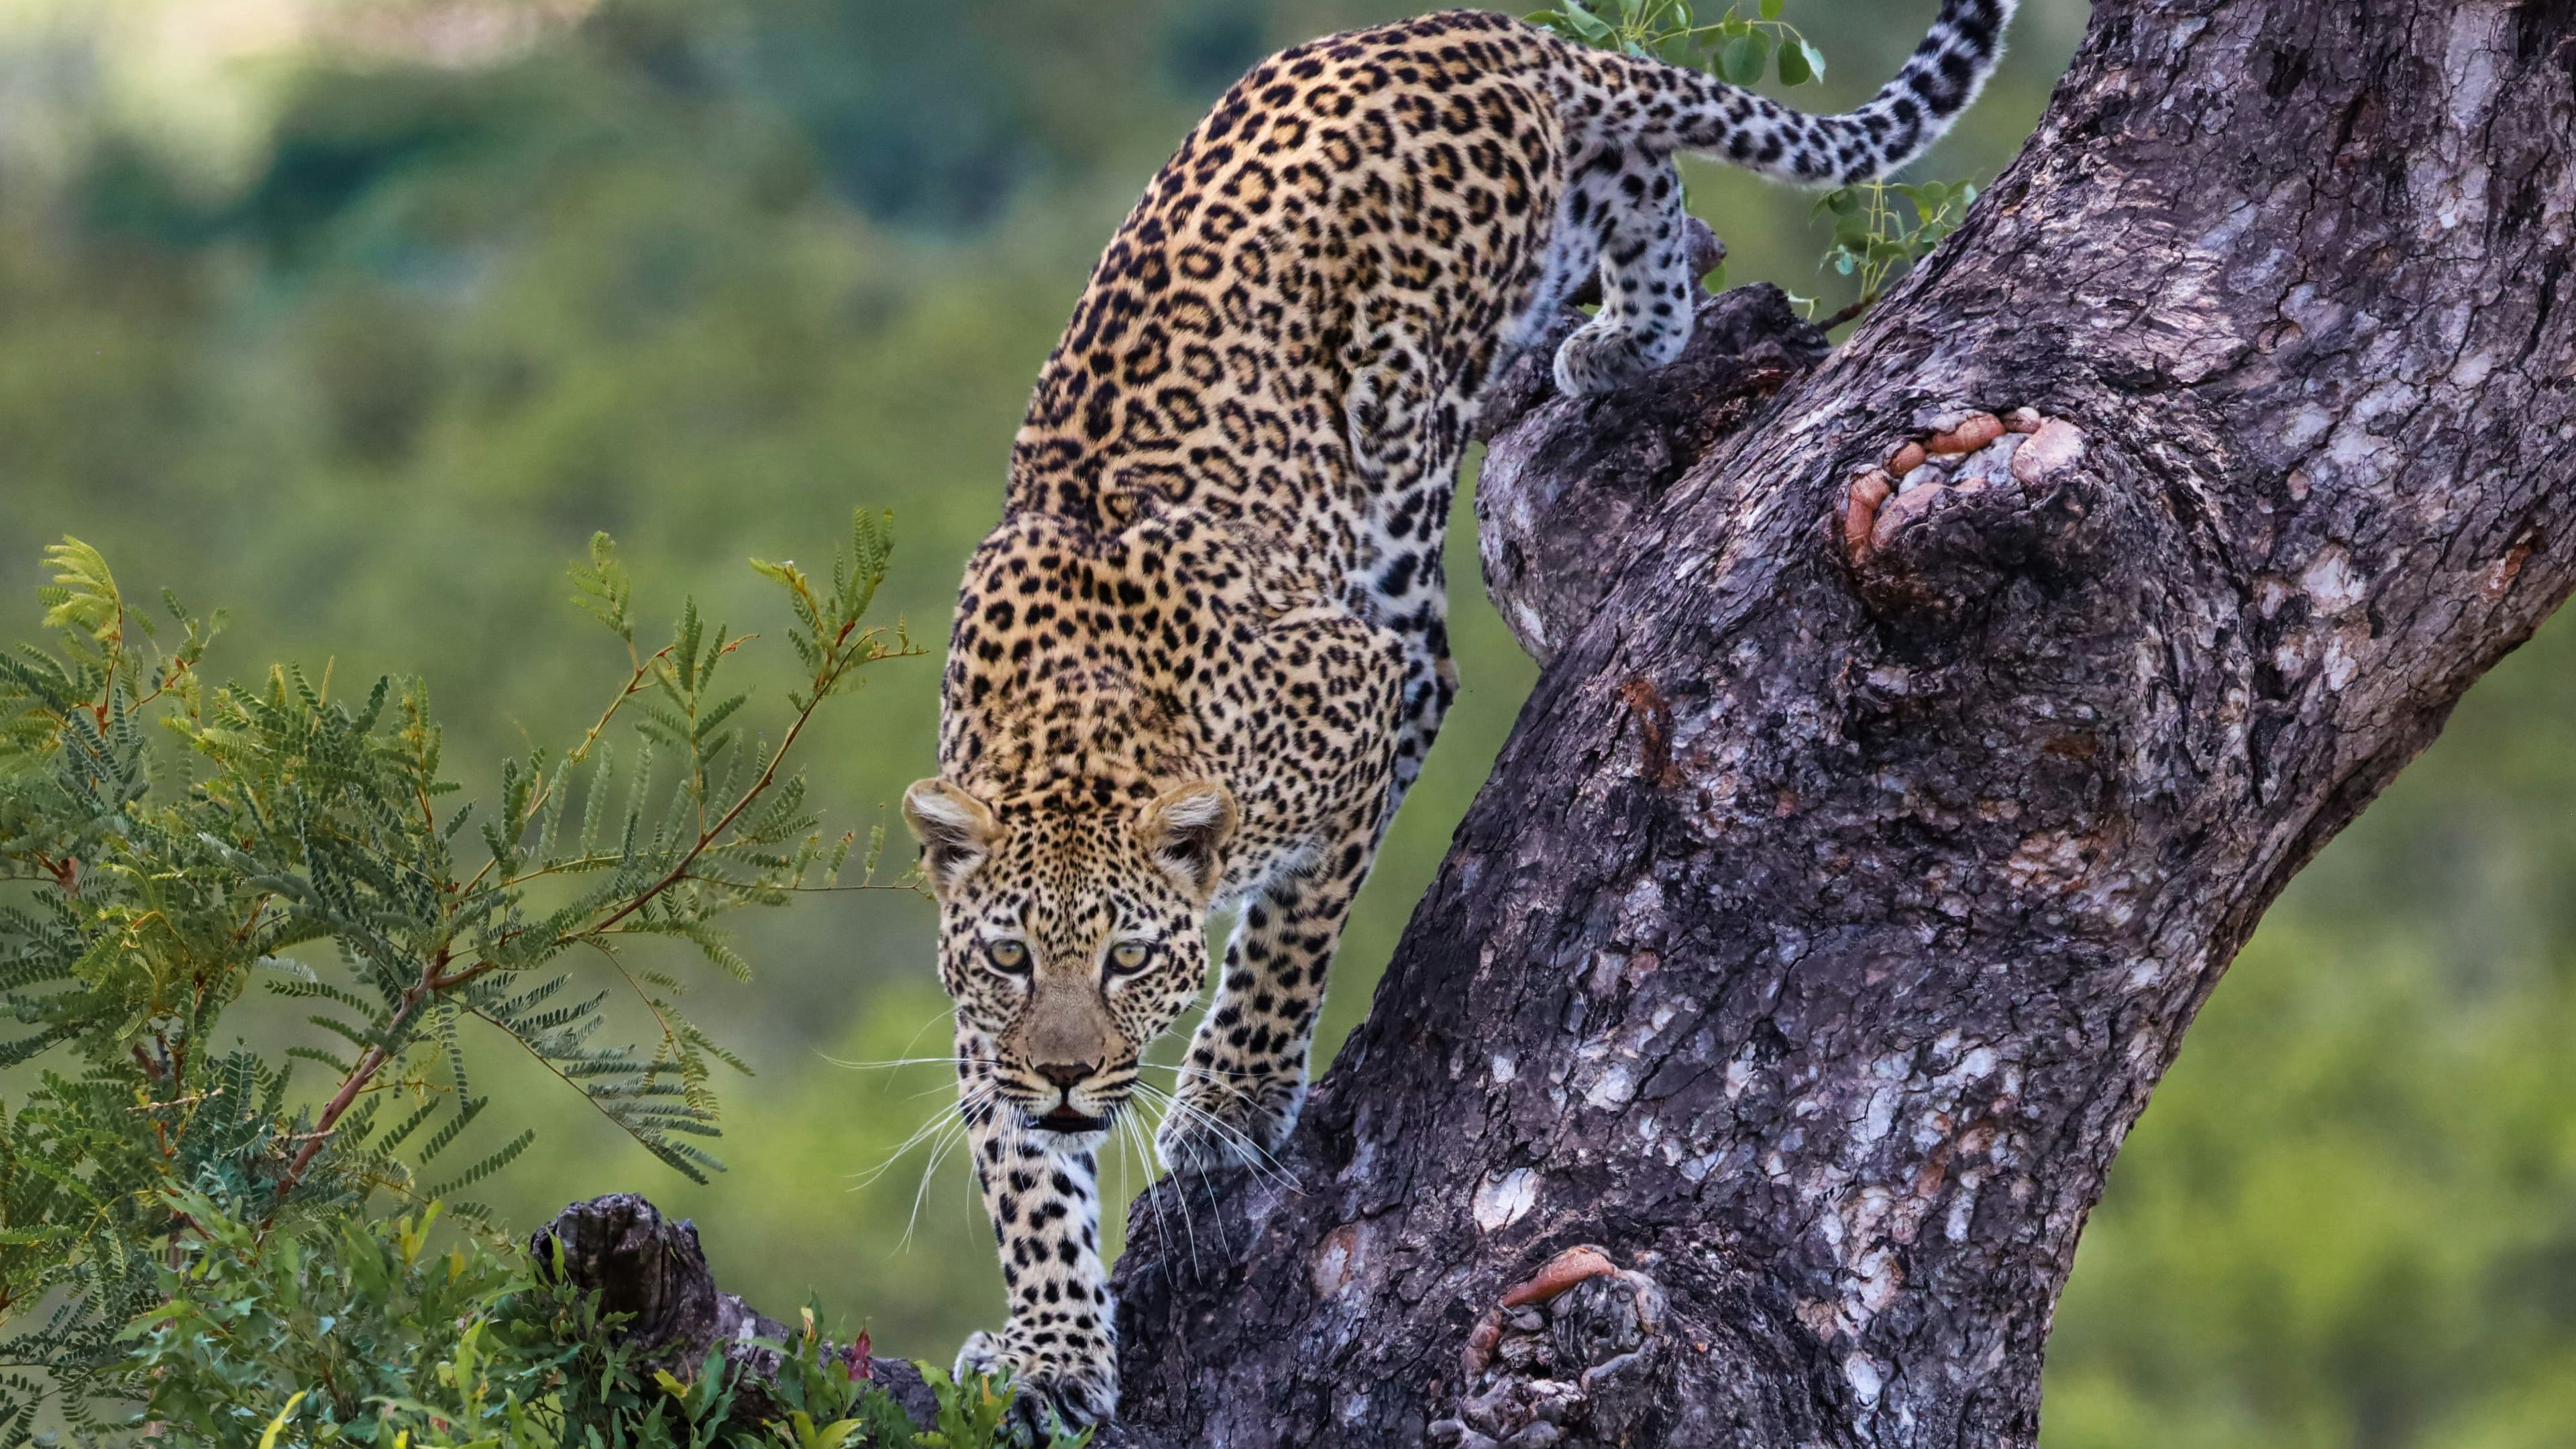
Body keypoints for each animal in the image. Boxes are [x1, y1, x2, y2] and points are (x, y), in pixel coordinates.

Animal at [900, 1, 2016, 1431]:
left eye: (1130, 962)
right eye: (1009, 958)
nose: (1062, 1073)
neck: (1078, 732)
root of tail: (1457, 32)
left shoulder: (1342, 710)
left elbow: (1285, 945)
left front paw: (1230, 1101)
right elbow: (1023, 1177)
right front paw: (1049, 1350)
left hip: (1402, 459)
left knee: (1430, 643)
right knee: (1637, 180)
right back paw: (1629, 331)